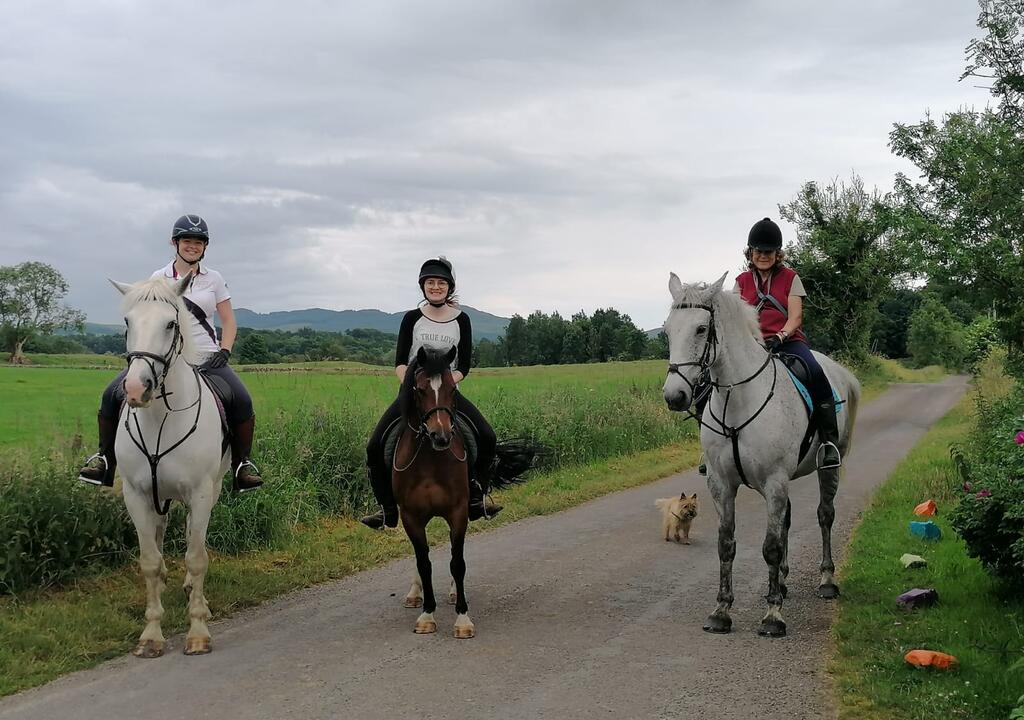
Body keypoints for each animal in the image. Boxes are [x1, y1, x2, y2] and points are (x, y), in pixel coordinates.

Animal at [111, 275, 230, 657]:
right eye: (127, 322)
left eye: (170, 324)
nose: (136, 389)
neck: (161, 418)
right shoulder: (136, 495)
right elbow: (150, 562)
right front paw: (151, 634)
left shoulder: (201, 493)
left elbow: (196, 557)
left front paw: (198, 631)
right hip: (157, 496)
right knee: (162, 537)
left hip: (213, 488)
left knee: (195, 538)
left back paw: (196, 596)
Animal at [661, 272, 860, 637]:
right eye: (668, 330)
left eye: (701, 329)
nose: (674, 396)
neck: (738, 401)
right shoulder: (721, 484)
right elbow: (727, 544)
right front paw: (721, 611)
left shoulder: (774, 481)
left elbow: (770, 546)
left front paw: (772, 616)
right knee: (787, 521)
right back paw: (781, 582)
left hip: (827, 469)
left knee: (825, 515)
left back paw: (826, 580)